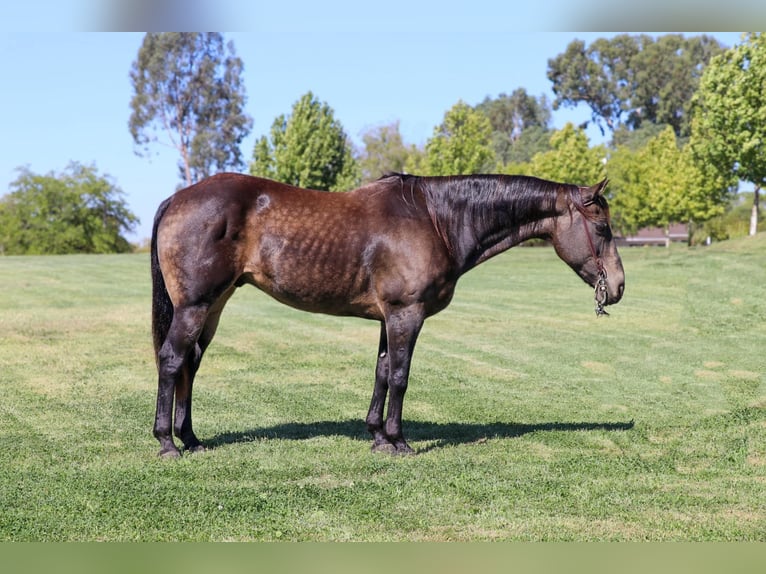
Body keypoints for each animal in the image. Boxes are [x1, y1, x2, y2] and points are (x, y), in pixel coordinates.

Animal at [150, 172, 625, 457]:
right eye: (602, 228)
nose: (618, 287)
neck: (436, 220)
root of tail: (176, 198)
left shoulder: (386, 319)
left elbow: (381, 372)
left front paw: (377, 437)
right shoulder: (405, 314)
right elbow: (400, 375)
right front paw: (399, 442)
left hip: (214, 306)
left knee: (191, 364)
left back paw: (191, 439)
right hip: (195, 306)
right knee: (172, 361)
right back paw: (167, 443)